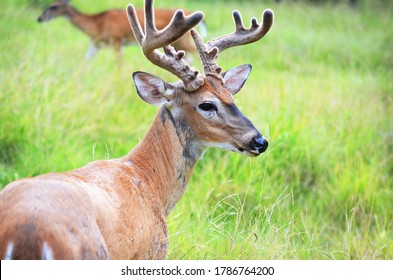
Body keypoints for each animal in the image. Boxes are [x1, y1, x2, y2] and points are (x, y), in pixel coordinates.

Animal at [38, 0, 207, 59]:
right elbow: (86, 61)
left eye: (54, 6)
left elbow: (118, 64)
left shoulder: (117, 40)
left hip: (183, 41)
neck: (96, 24)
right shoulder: (95, 44)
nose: (39, 18)